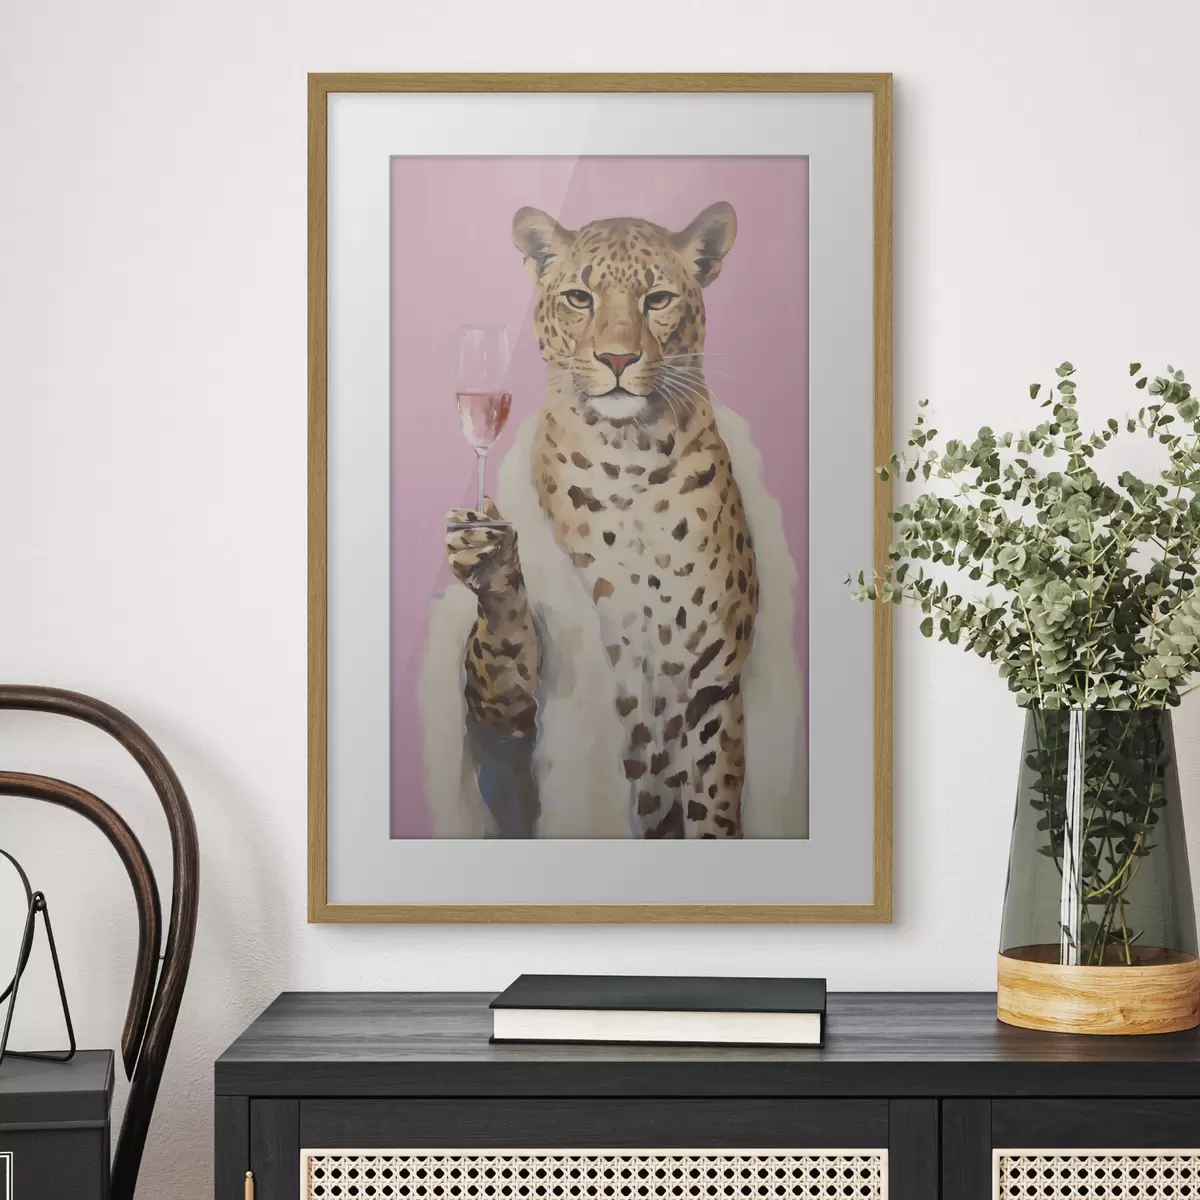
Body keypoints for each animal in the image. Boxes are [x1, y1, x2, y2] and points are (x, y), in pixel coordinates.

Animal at [444, 201, 758, 838]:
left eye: (658, 299)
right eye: (580, 298)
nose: (617, 358)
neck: (629, 458)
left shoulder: (711, 682)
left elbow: (713, 804)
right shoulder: (512, 698)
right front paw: (488, 558)